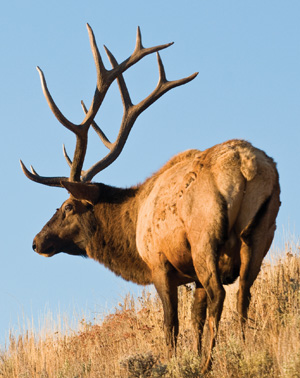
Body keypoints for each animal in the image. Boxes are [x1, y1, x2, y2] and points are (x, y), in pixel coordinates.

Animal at [19, 25, 280, 374]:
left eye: (68, 207)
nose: (37, 242)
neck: (131, 228)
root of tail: (245, 164)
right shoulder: (192, 275)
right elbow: (195, 319)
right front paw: (195, 356)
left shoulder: (159, 263)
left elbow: (171, 325)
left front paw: (177, 364)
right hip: (261, 231)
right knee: (244, 295)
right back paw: (243, 349)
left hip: (204, 236)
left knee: (220, 295)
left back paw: (209, 363)